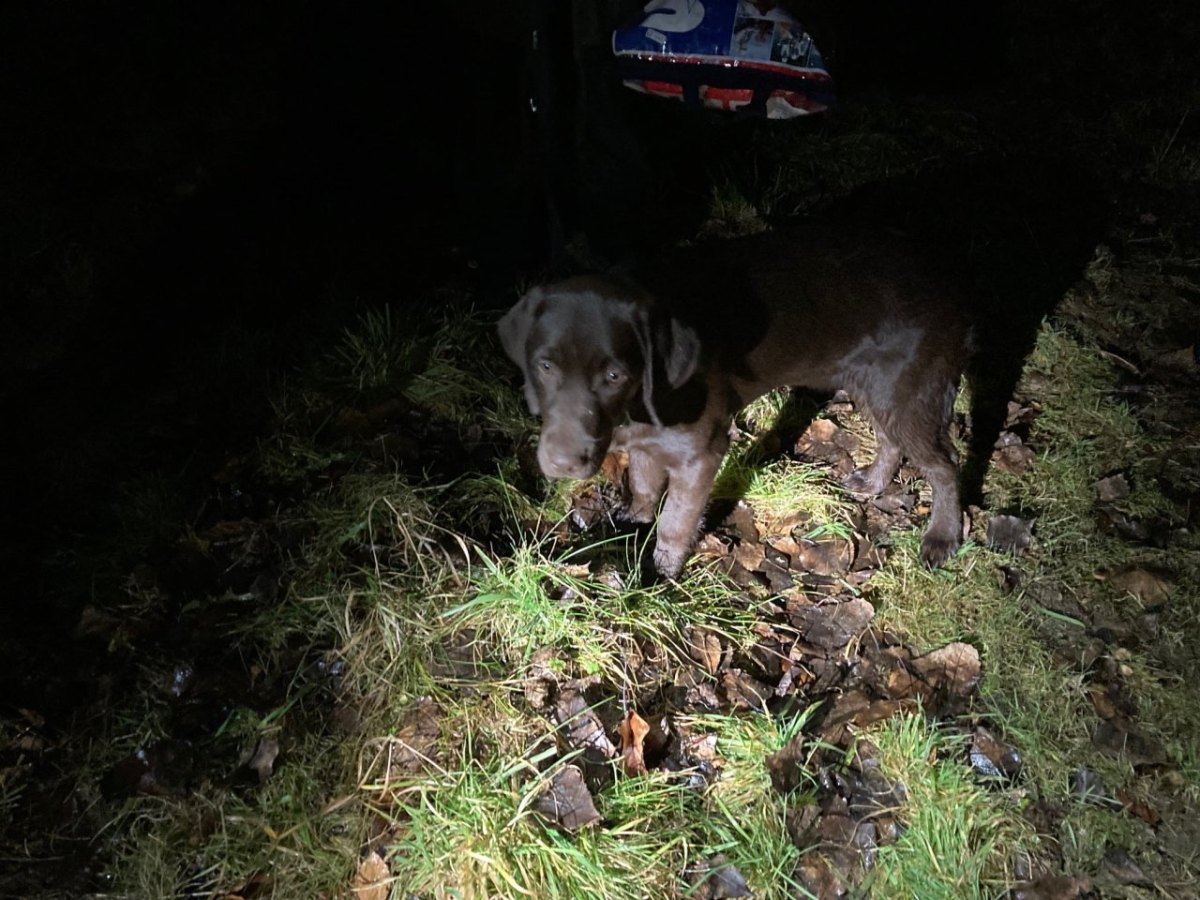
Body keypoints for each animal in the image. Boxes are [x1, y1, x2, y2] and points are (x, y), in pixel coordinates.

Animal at [499, 224, 974, 578]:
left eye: (614, 376)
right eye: (545, 366)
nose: (563, 465)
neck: (638, 401)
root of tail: (952, 283)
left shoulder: (700, 454)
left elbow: (675, 521)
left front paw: (661, 573)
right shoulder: (648, 441)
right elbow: (645, 487)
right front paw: (633, 524)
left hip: (909, 391)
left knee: (944, 465)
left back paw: (942, 536)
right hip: (874, 387)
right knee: (891, 441)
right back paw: (873, 484)